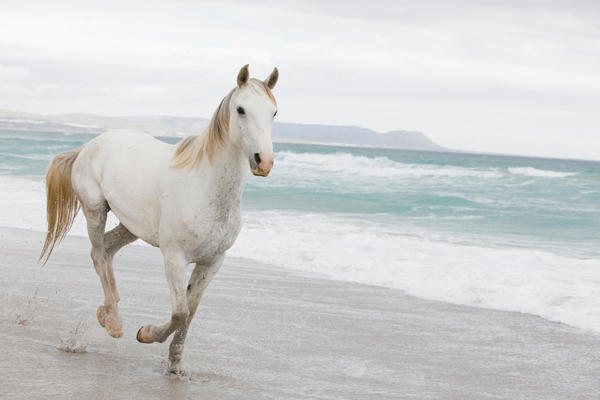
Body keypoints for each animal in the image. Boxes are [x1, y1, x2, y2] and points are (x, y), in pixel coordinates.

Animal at [39, 64, 278, 374]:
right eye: (241, 109)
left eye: (274, 112)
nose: (264, 161)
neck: (205, 187)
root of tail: (90, 144)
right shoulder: (174, 257)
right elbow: (180, 312)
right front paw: (146, 333)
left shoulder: (212, 261)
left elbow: (191, 312)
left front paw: (175, 364)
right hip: (95, 210)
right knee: (97, 253)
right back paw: (114, 322)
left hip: (131, 226)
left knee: (107, 249)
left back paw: (108, 310)